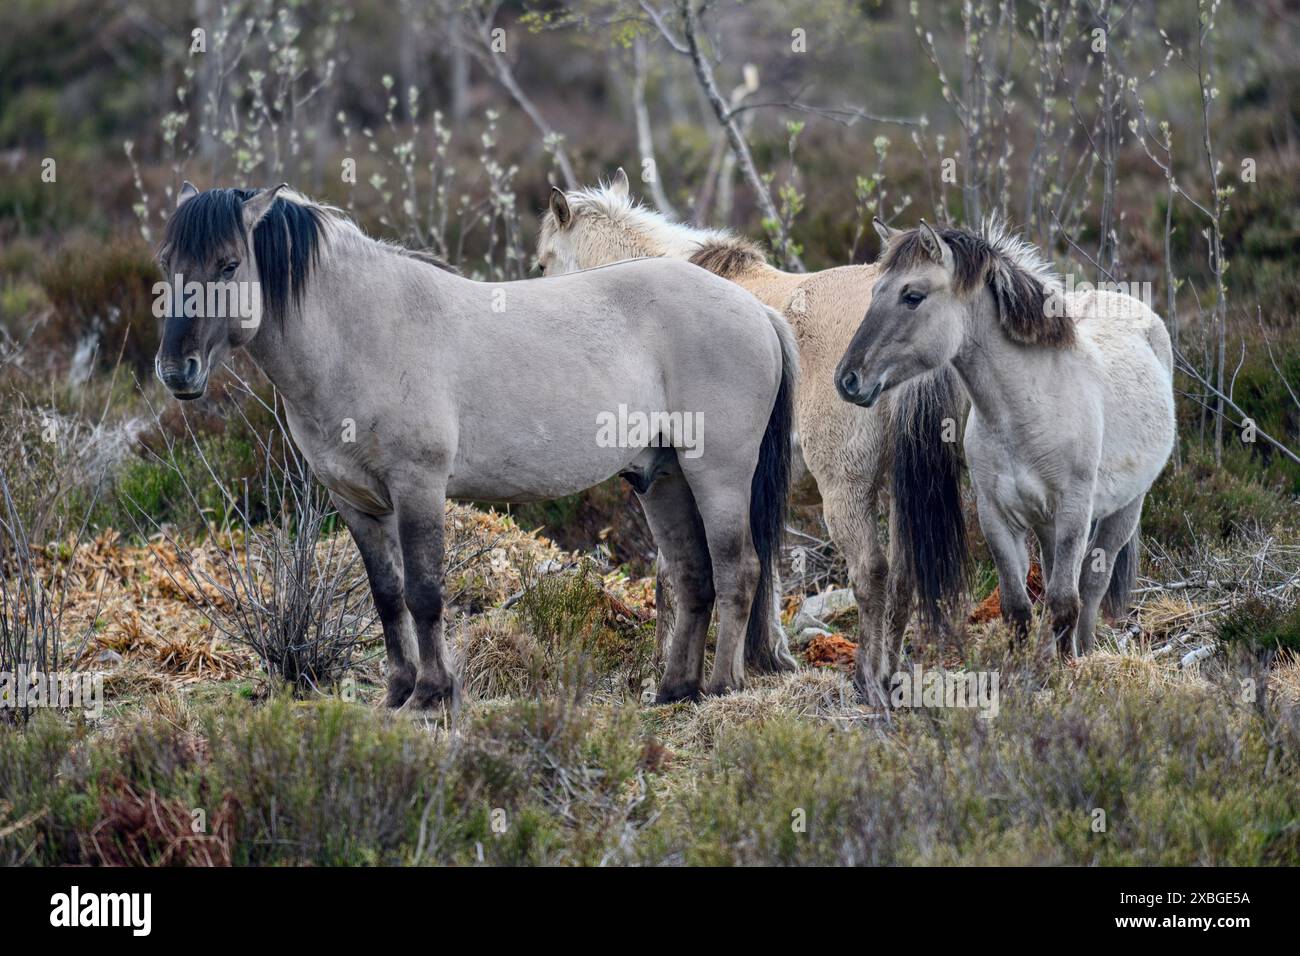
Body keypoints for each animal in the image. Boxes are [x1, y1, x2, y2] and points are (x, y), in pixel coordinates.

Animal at [156, 183, 795, 707]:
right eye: (167, 262)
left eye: (229, 264)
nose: (176, 371)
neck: (361, 331)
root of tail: (758, 311)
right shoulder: (356, 502)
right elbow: (387, 596)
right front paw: (397, 693)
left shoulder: (418, 487)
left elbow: (424, 593)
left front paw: (432, 694)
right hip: (661, 479)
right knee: (692, 576)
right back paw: (674, 691)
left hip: (717, 475)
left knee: (738, 570)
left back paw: (722, 687)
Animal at [533, 167, 972, 702]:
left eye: (542, 263)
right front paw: (772, 658)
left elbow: (675, 573)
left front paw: (670, 664)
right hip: (900, 489)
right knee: (904, 578)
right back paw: (887, 674)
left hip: (847, 488)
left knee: (871, 573)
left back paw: (867, 679)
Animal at [832, 221, 1180, 660]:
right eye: (876, 291)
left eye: (912, 296)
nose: (847, 379)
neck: (1026, 410)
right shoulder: (997, 517)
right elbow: (1017, 607)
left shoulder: (1073, 513)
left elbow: (1065, 602)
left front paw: (1065, 671)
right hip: (1047, 526)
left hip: (1126, 507)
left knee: (1092, 584)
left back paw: (1083, 651)